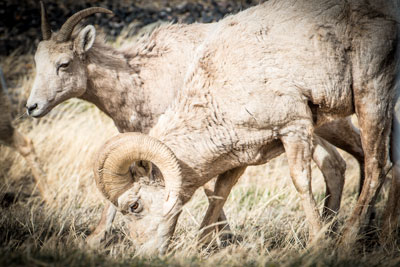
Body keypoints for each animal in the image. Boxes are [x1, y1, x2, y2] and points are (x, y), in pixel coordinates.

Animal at [26, 2, 366, 249]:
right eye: (37, 64)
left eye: (64, 64)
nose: (32, 107)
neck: (139, 77)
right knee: (339, 163)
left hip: (324, 124)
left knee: (357, 156)